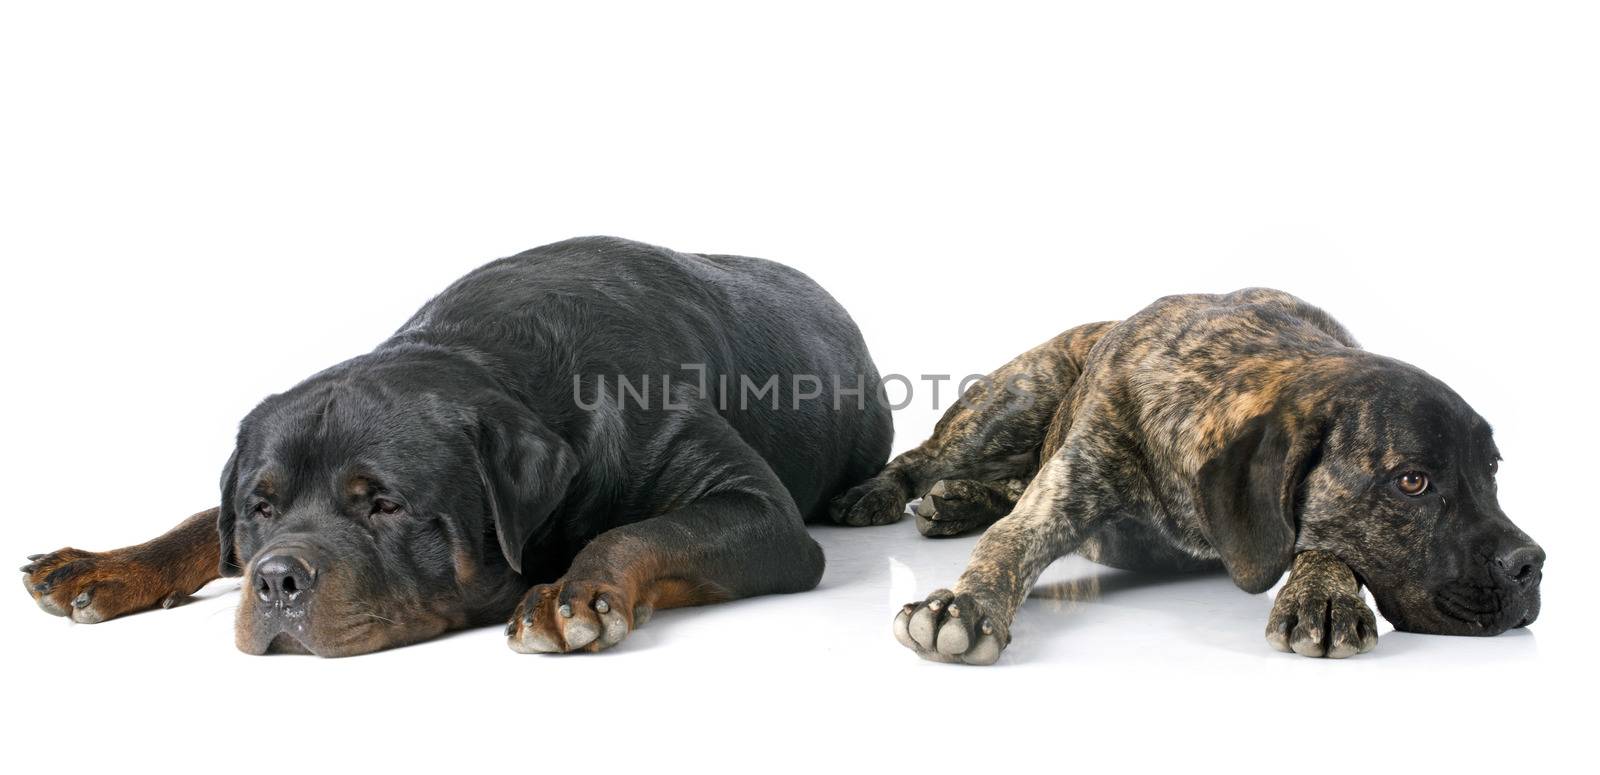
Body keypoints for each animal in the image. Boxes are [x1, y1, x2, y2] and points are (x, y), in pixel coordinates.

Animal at [18, 235, 896, 653]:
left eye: (386, 505)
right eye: (261, 507)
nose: (273, 580)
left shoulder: (758, 514)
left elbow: (642, 531)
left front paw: (574, 594)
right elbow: (204, 522)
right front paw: (106, 564)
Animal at [825, 288, 1536, 662]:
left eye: (1493, 471)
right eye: (1411, 482)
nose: (1532, 564)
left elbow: (1323, 542)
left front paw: (1322, 592)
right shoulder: (1063, 493)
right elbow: (1007, 544)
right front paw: (962, 604)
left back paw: (959, 503)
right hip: (1012, 403)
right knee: (922, 458)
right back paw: (883, 493)